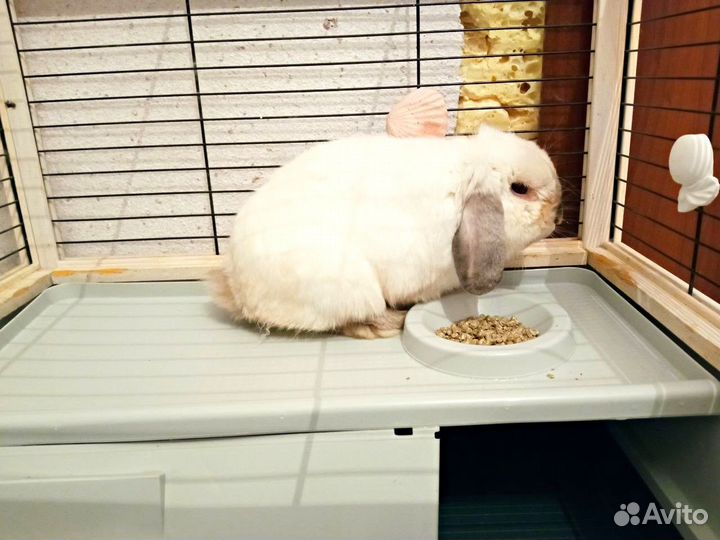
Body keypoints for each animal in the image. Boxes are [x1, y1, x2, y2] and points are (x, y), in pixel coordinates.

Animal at [210, 124, 562, 339]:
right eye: (520, 189)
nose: (555, 216)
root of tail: (239, 292)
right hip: (352, 288)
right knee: (356, 319)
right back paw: (394, 322)